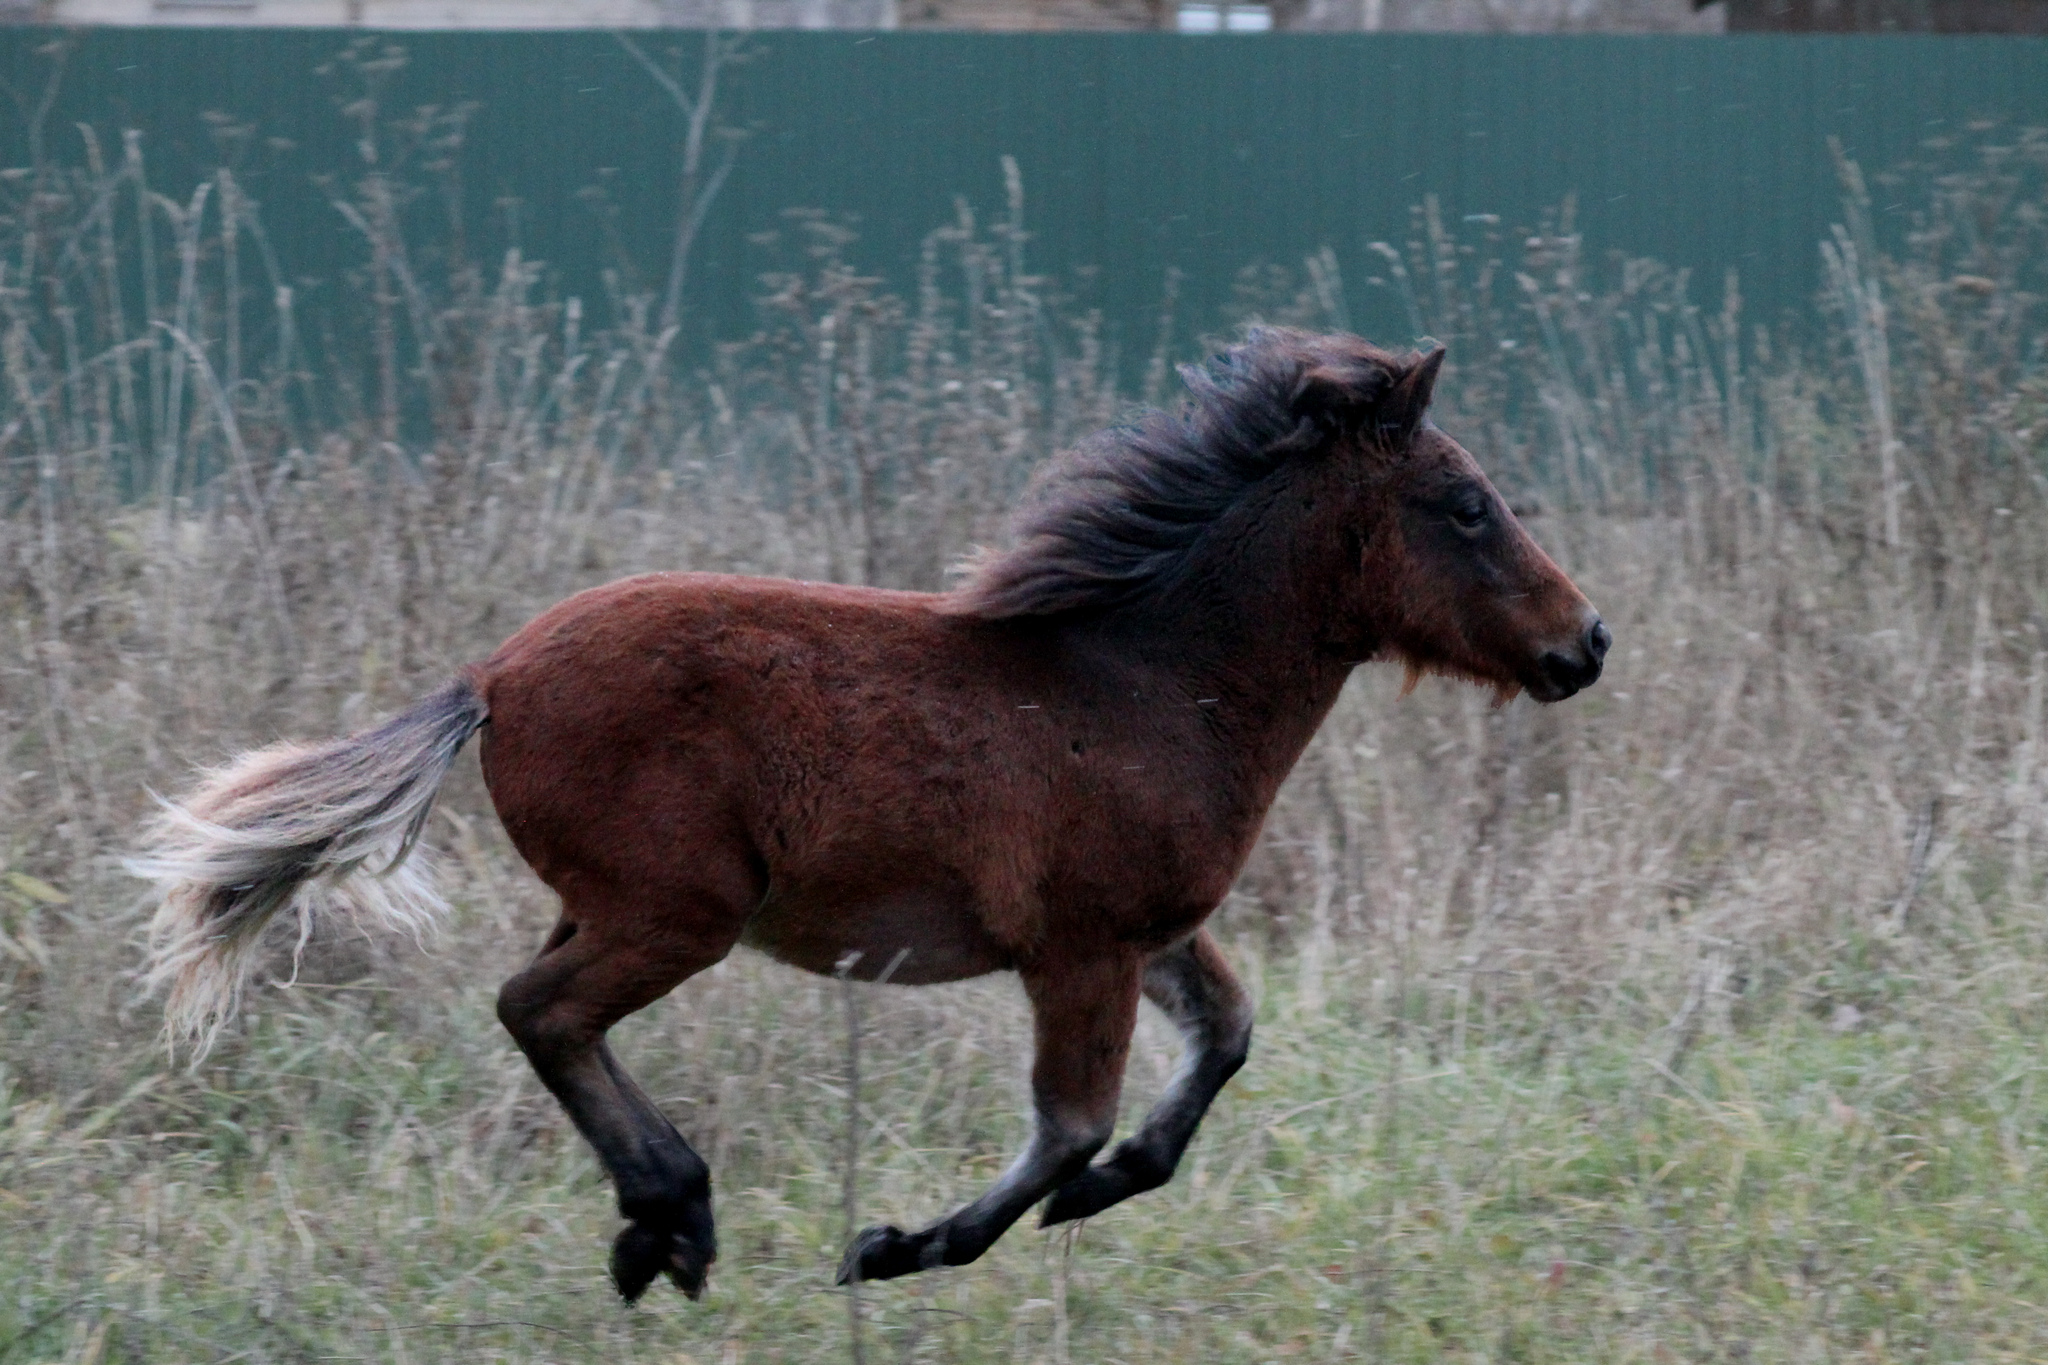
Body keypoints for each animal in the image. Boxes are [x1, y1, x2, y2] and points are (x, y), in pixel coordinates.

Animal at [132, 327, 1613, 1301]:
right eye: (1466, 506)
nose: (1585, 642)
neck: (1148, 678)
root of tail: (487, 678)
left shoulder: (1150, 933)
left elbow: (1222, 1044)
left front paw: (1100, 1190)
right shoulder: (1080, 949)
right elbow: (1067, 1123)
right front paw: (899, 1248)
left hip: (614, 905)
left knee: (548, 1012)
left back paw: (653, 1230)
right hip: (678, 914)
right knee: (537, 1010)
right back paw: (675, 1217)